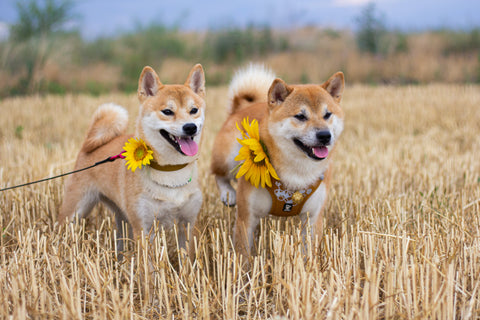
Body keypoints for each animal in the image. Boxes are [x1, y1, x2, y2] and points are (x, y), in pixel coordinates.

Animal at [58, 63, 206, 251]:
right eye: (167, 111)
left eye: (194, 110)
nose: (190, 127)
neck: (171, 170)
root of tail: (88, 145)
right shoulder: (143, 227)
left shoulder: (188, 224)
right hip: (74, 212)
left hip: (123, 220)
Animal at [211, 65, 344, 258]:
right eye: (300, 116)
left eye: (327, 115)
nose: (325, 135)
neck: (297, 170)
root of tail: (241, 108)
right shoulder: (246, 217)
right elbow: (243, 253)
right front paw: (243, 267)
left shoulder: (313, 217)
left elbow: (310, 252)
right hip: (227, 157)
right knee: (219, 174)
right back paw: (228, 194)